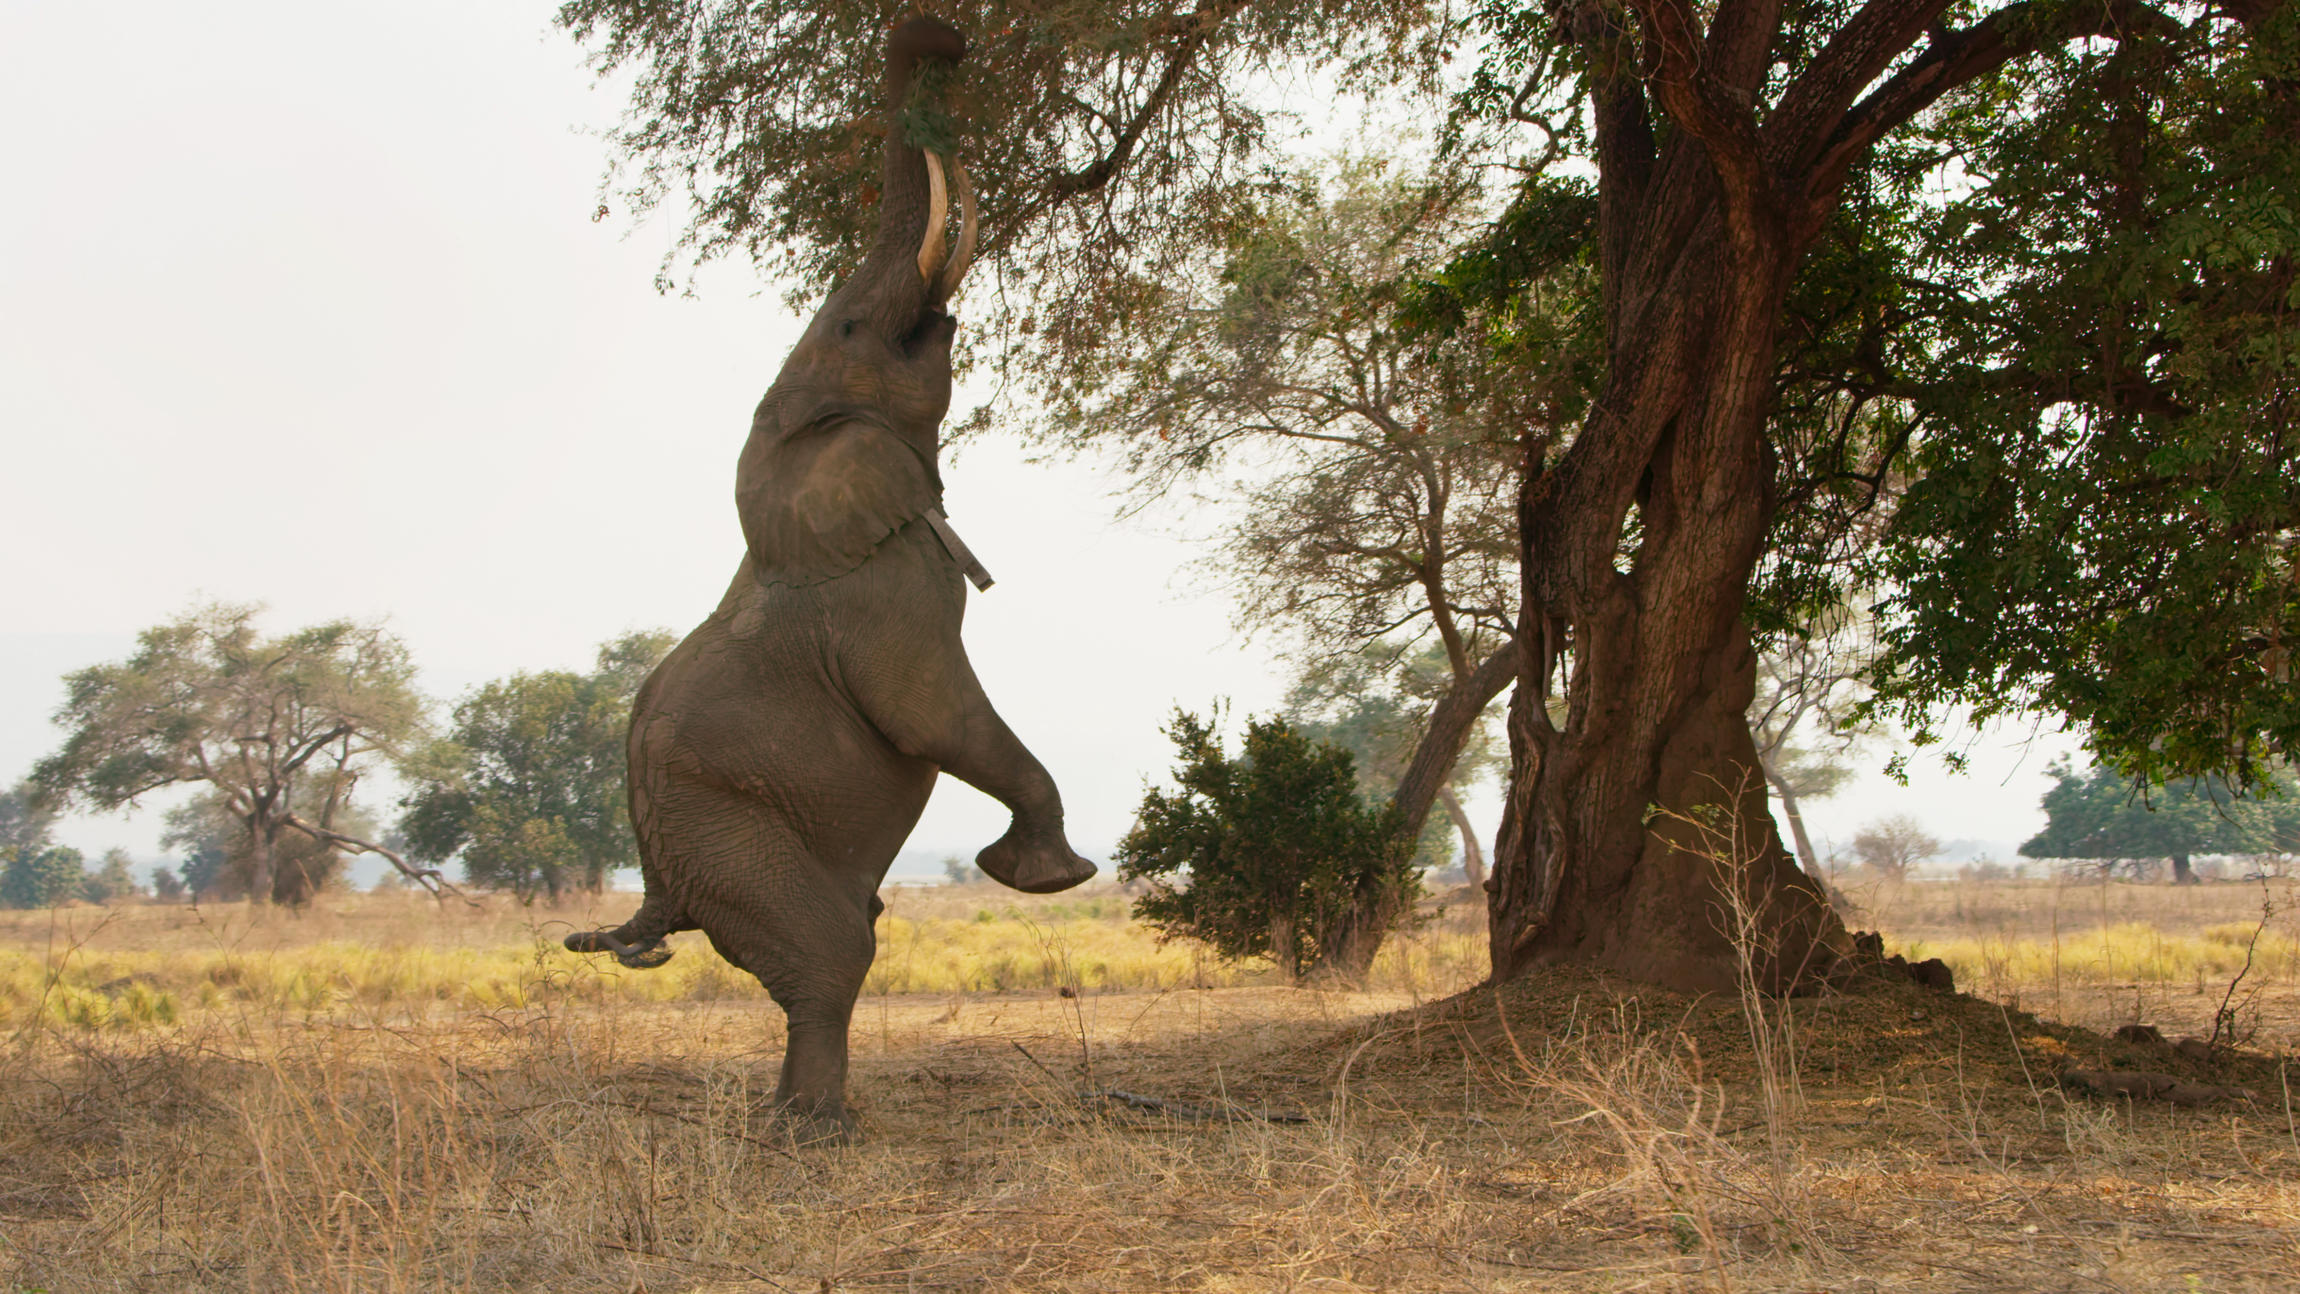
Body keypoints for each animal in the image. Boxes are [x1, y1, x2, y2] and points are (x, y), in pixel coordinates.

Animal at [561, 15, 1090, 1140]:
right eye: (850, 328)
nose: (938, 37)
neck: (791, 436)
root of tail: (654, 891)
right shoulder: (882, 594)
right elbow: (928, 714)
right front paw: (1048, 878)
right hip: (730, 835)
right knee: (831, 952)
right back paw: (815, 1132)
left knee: (844, 938)